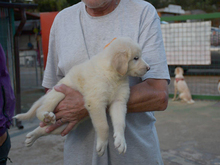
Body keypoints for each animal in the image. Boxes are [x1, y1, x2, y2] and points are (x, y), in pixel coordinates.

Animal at [13, 37, 150, 156]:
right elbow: (103, 126)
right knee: (41, 110)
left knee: (45, 129)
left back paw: (32, 136)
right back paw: (46, 116)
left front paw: (121, 141)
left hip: (62, 126)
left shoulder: (119, 102)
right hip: (58, 93)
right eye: (136, 58)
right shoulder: (96, 102)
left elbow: (121, 123)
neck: (113, 75)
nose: (149, 68)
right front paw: (102, 144)